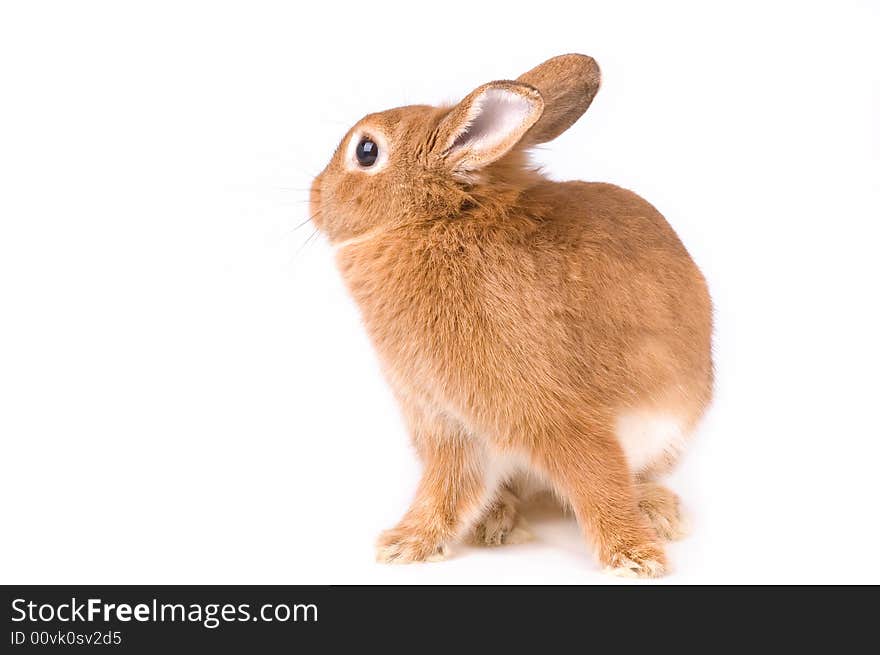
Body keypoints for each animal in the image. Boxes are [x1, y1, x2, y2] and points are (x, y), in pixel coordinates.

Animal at [312, 56, 716, 580]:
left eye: (366, 151)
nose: (314, 195)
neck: (435, 223)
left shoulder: (551, 410)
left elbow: (597, 479)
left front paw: (634, 557)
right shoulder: (447, 424)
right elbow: (445, 490)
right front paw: (407, 544)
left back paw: (657, 511)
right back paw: (496, 523)